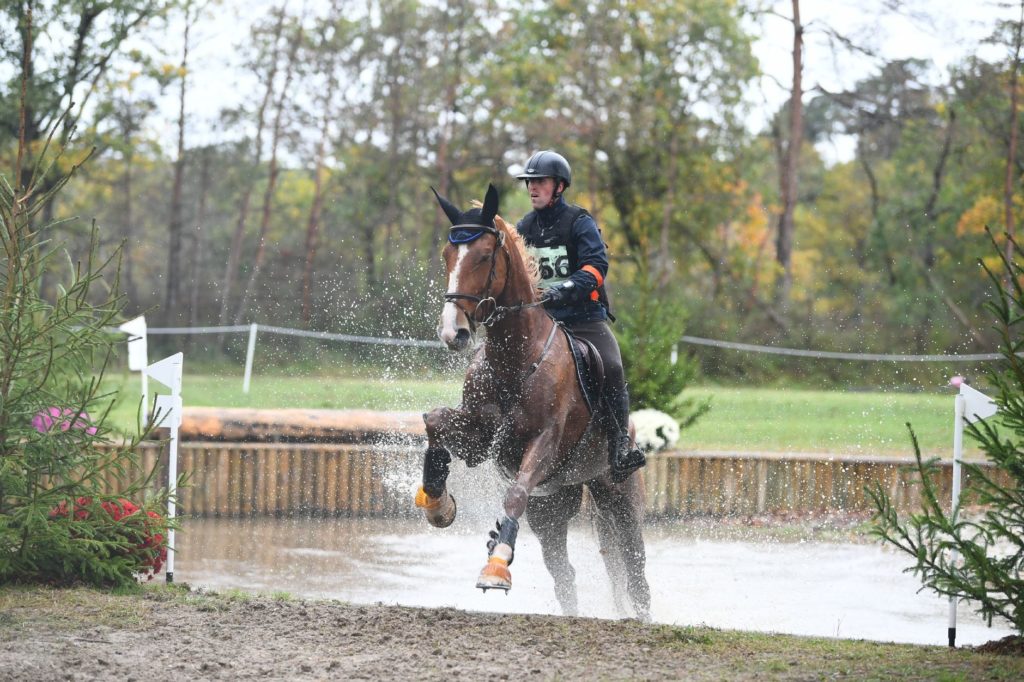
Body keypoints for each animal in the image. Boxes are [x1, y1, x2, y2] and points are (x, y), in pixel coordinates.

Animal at [413, 183, 647, 618]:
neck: (514, 360)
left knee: (636, 575)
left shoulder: (545, 445)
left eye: (484, 256)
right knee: (565, 575)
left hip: (618, 497)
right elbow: (434, 421)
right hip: (552, 509)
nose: (453, 333)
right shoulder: (478, 438)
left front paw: (496, 565)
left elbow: (515, 493)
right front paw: (438, 504)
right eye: (447, 256)